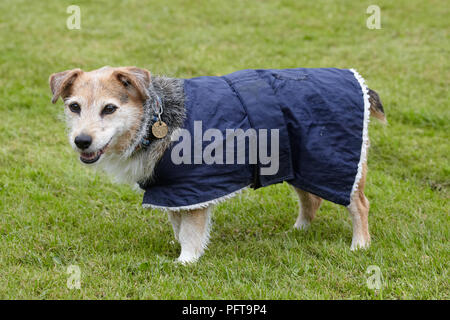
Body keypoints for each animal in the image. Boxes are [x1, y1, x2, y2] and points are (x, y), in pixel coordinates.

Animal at [50, 65, 386, 262]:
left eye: (109, 108)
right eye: (74, 107)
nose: (81, 141)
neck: (154, 116)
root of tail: (357, 81)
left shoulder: (193, 187)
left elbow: (190, 232)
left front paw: (186, 261)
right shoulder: (172, 190)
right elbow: (178, 227)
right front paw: (184, 249)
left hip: (337, 163)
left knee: (360, 205)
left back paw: (360, 245)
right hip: (300, 164)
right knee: (311, 200)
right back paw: (299, 231)